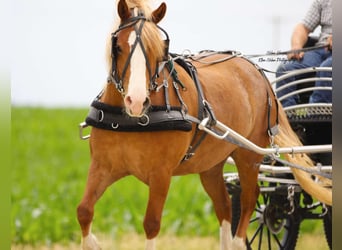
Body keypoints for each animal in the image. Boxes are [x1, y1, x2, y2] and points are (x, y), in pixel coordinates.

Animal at [77, 0, 332, 249]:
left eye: (159, 51)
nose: (137, 101)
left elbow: (151, 224)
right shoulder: (102, 167)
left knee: (249, 200)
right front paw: (95, 243)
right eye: (118, 47)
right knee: (225, 206)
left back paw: (240, 241)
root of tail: (257, 73)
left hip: (248, 156)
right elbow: (84, 211)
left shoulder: (161, 174)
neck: (133, 120)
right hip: (211, 164)